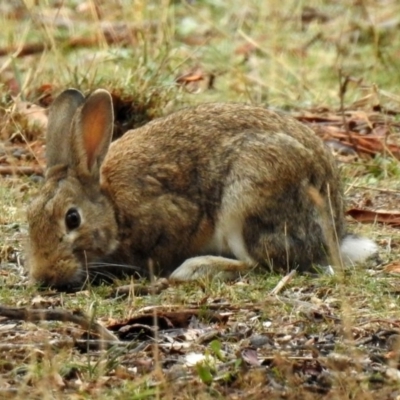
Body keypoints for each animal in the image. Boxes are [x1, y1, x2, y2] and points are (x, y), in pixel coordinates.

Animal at [25, 88, 378, 290]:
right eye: (29, 218)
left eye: (72, 219)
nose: (44, 275)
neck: (112, 205)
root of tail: (333, 234)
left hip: (247, 199)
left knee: (263, 264)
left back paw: (194, 269)